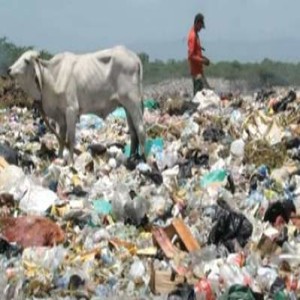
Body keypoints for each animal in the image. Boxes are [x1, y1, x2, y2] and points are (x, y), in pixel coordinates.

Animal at [7, 47, 146, 164]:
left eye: (26, 61)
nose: (9, 70)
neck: (53, 76)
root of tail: (135, 57)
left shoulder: (71, 110)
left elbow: (71, 138)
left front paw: (70, 162)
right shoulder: (60, 116)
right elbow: (61, 137)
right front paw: (59, 158)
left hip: (133, 101)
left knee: (140, 130)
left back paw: (143, 160)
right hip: (126, 106)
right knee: (133, 132)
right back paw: (131, 159)